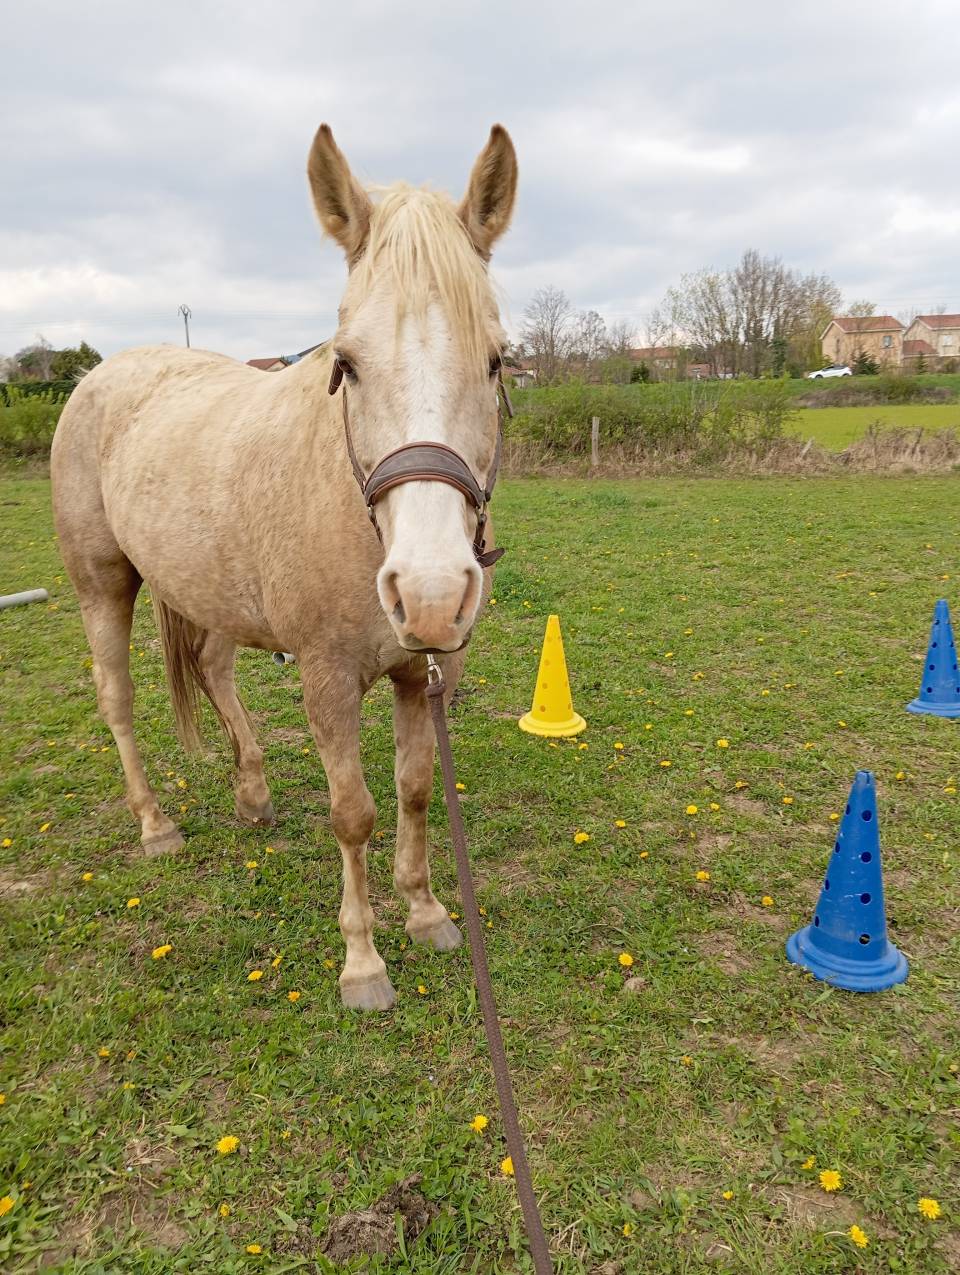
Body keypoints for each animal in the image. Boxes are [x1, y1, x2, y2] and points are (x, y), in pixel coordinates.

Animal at [50, 124, 518, 1011]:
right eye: (349, 363)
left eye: (497, 361)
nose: (431, 592)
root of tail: (103, 375)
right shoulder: (327, 678)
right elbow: (353, 812)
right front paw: (363, 962)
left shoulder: (421, 671)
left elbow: (413, 788)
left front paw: (426, 912)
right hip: (103, 583)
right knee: (117, 698)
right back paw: (155, 823)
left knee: (212, 667)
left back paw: (254, 792)